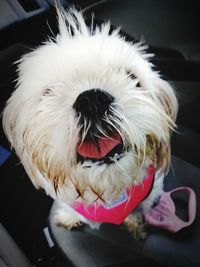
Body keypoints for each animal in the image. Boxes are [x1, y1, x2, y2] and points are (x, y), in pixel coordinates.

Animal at [2, 7, 178, 239]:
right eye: (48, 93)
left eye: (132, 77)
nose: (92, 100)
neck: (107, 191)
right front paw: (69, 217)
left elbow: (136, 210)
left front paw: (134, 223)